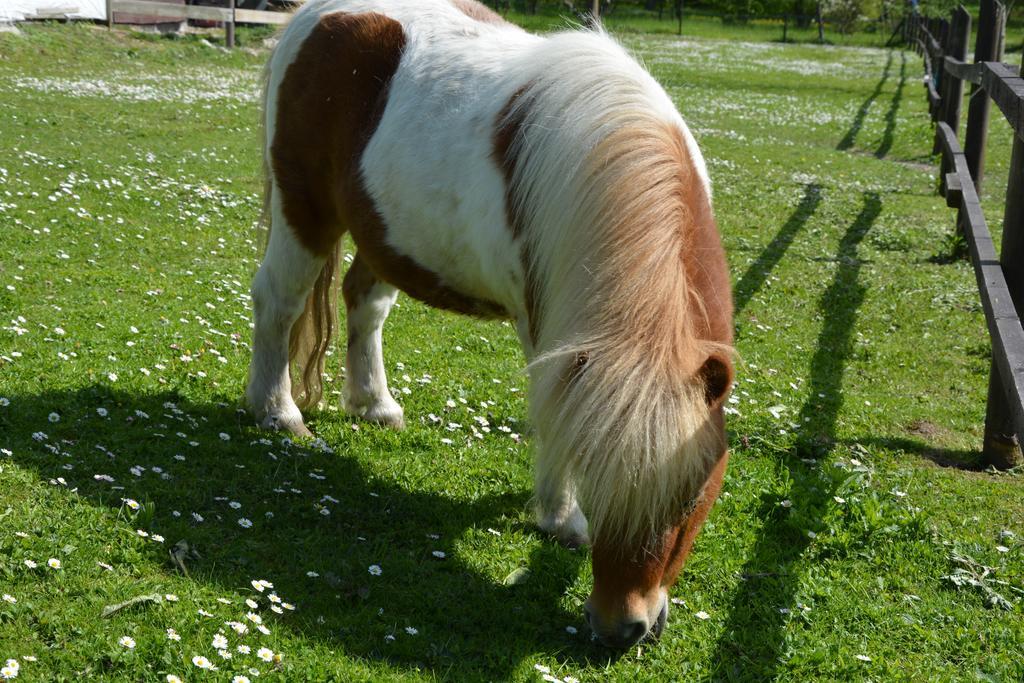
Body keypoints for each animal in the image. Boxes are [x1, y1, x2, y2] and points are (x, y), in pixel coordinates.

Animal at [243, 0, 733, 651]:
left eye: (690, 497)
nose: (620, 629)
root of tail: (311, 16)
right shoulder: (546, 328)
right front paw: (560, 517)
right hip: (303, 213)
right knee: (278, 302)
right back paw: (277, 412)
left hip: (385, 234)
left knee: (364, 306)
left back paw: (375, 404)